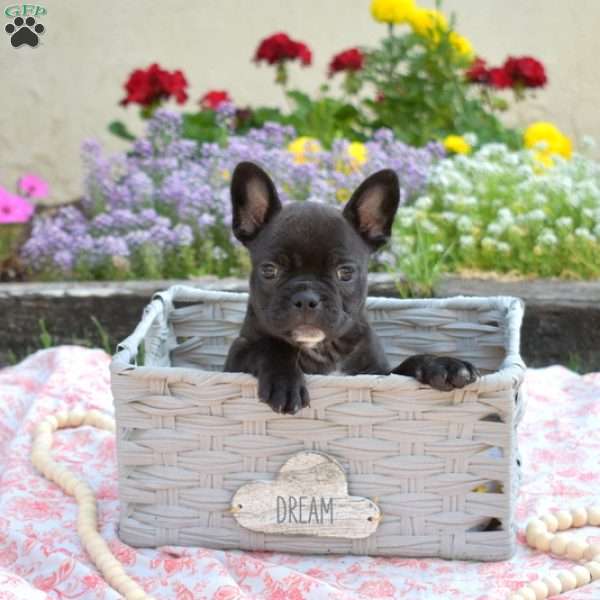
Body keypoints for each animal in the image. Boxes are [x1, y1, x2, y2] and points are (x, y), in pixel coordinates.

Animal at [224, 159, 478, 414]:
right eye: (269, 270)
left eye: (345, 273)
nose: (306, 298)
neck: (323, 350)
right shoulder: (237, 355)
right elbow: (269, 346)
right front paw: (284, 382)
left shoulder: (380, 374)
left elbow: (408, 363)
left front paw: (442, 364)